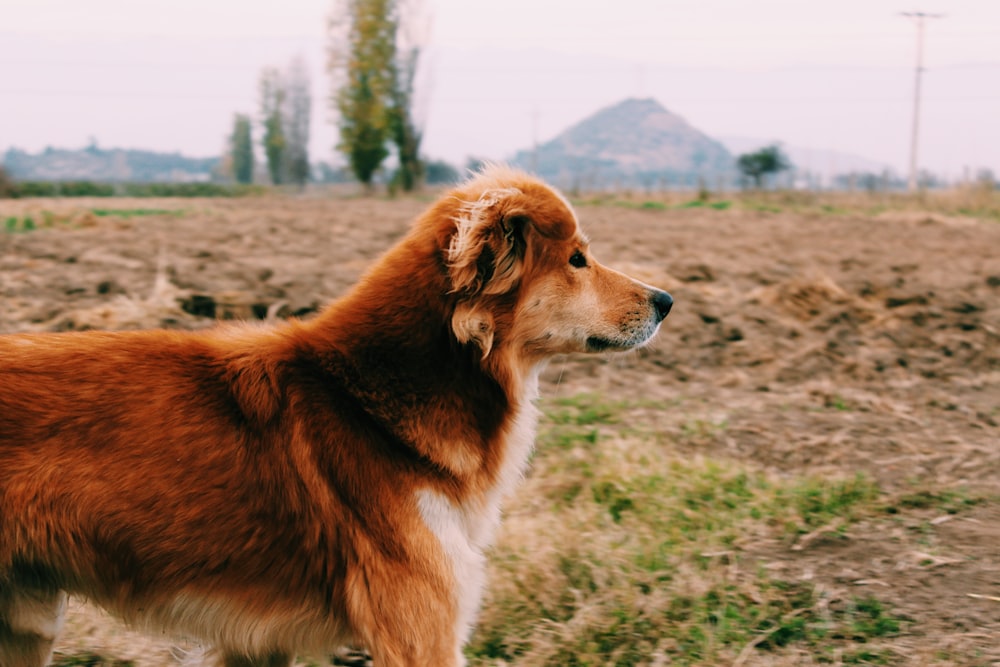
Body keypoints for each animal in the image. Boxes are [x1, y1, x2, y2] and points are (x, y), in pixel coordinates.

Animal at [1, 164, 672, 664]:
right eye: (577, 259)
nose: (667, 300)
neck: (371, 399)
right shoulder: (420, 628)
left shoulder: (255, 646)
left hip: (27, 624)